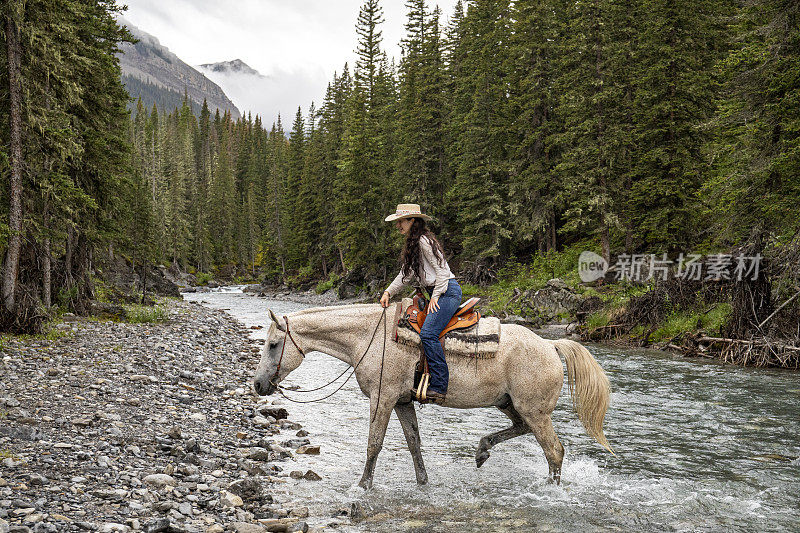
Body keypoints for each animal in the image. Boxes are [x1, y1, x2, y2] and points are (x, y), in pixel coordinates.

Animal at [253, 302, 608, 488]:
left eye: (273, 344)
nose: (258, 385)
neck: (371, 337)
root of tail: (550, 344)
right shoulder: (401, 402)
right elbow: (413, 442)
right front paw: (423, 481)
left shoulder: (382, 398)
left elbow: (374, 444)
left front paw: (363, 485)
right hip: (510, 404)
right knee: (521, 430)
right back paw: (482, 450)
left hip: (535, 411)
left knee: (554, 451)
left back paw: (551, 489)